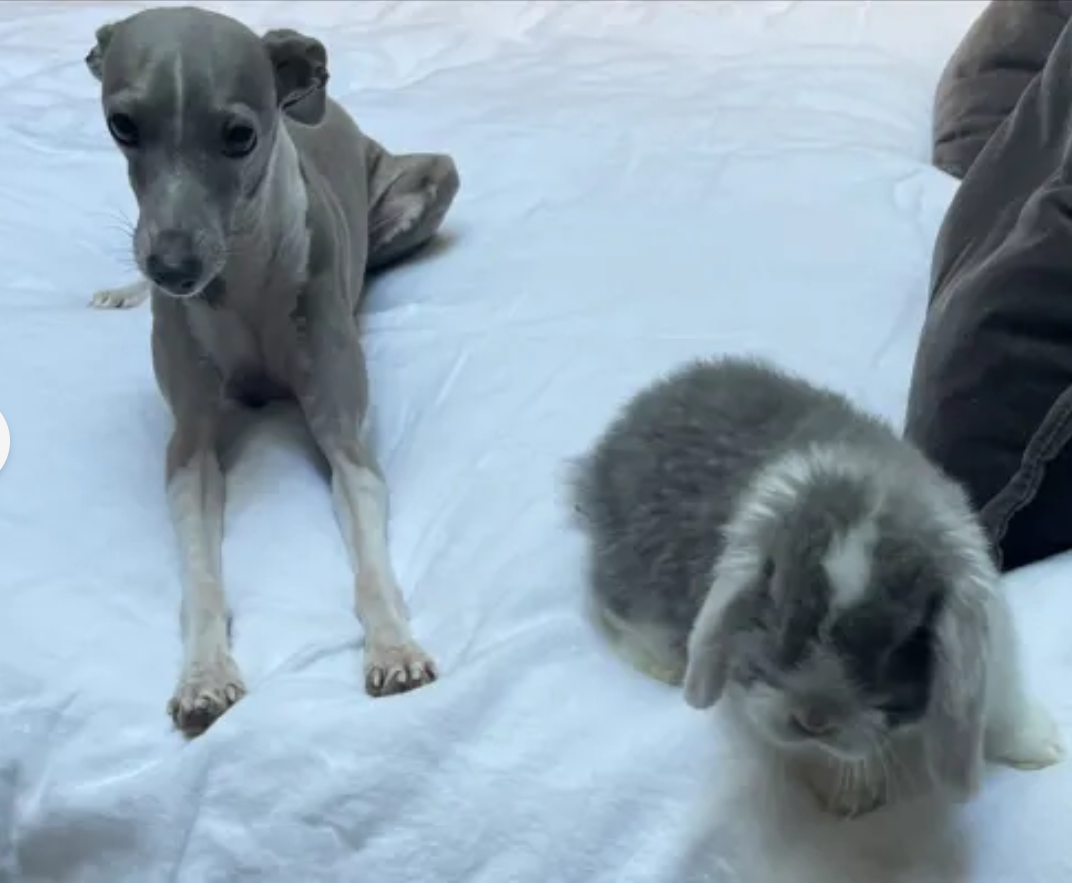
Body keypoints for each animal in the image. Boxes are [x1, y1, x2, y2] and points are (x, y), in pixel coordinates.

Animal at [86, 5, 460, 735]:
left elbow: (370, 561)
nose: (174, 271)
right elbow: (201, 575)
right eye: (123, 125)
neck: (241, 278)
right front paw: (204, 676)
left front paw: (394, 649)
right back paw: (123, 290)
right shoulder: (189, 448)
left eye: (239, 135)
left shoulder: (345, 440)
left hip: (433, 179)